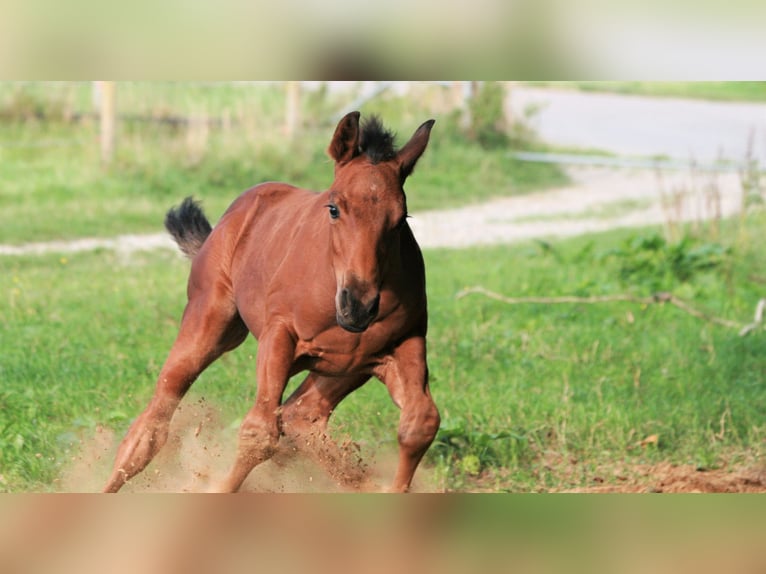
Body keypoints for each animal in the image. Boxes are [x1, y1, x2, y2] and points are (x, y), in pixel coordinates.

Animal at [104, 112, 440, 496]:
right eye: (334, 208)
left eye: (401, 220)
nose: (358, 305)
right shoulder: (279, 337)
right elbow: (259, 432)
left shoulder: (404, 344)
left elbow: (421, 424)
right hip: (210, 325)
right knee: (151, 423)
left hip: (346, 368)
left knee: (300, 415)